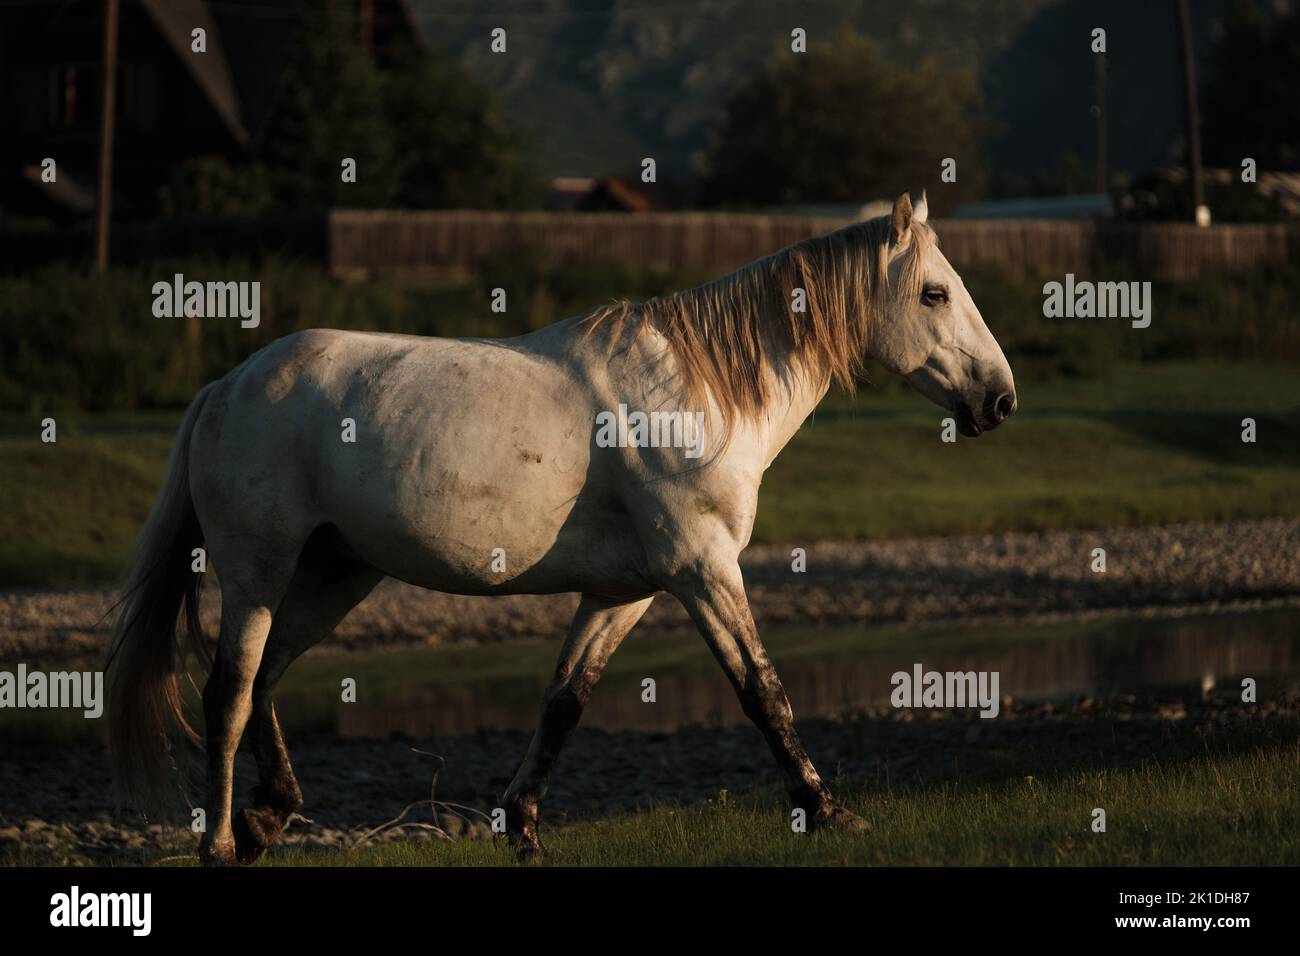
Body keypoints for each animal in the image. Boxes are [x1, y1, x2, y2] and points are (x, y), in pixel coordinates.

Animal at [106, 191, 1016, 865]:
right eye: (934, 293)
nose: (999, 399)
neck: (697, 391)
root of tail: (225, 386)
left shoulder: (623, 594)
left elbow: (565, 702)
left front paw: (524, 829)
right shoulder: (702, 571)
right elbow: (762, 690)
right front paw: (827, 811)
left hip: (336, 573)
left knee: (264, 679)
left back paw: (270, 819)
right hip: (258, 570)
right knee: (228, 692)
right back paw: (223, 844)